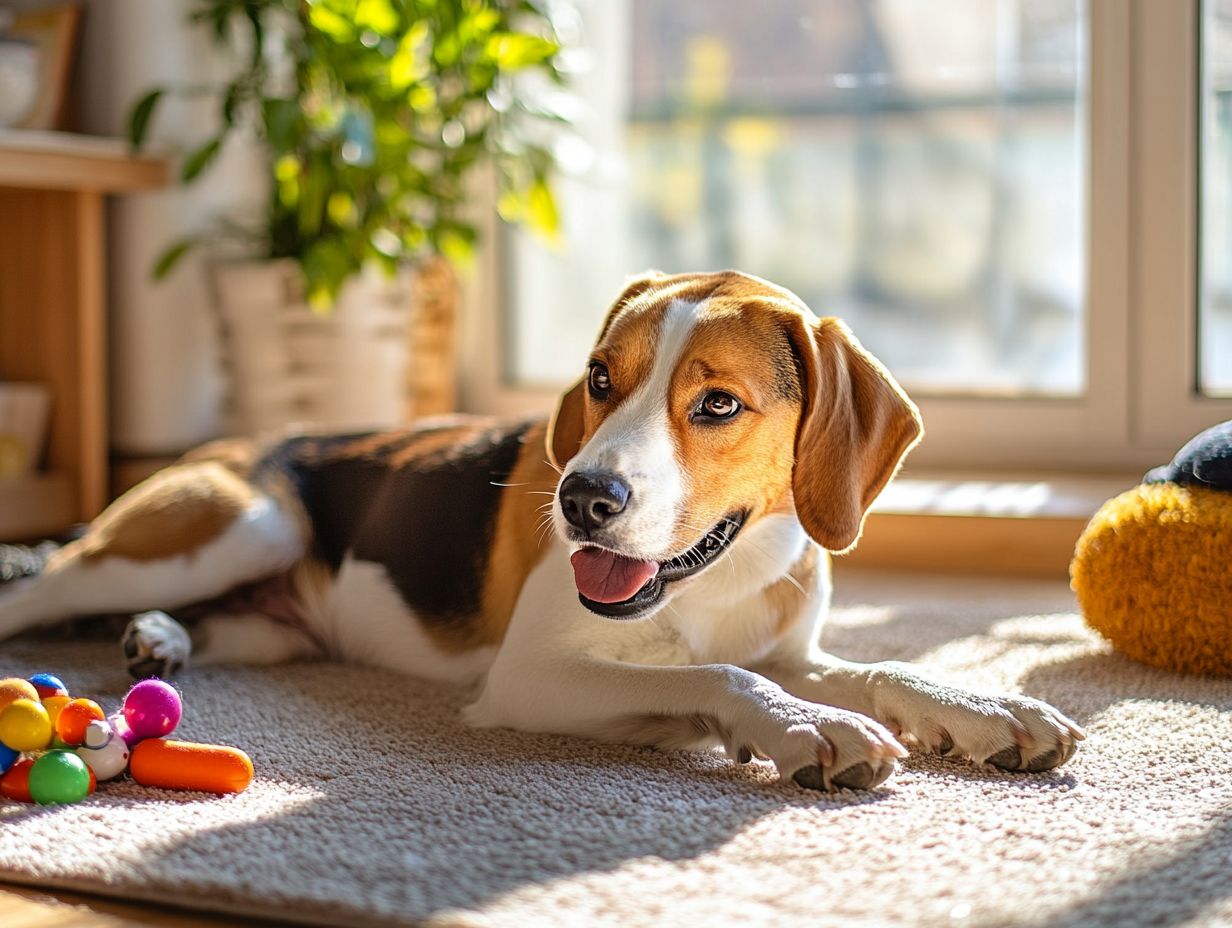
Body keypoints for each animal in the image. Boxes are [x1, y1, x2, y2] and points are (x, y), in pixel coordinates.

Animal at [0, 267, 1079, 788]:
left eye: (718, 404)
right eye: (600, 377)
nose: (583, 499)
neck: (716, 577)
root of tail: (236, 442)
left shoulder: (794, 647)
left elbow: (879, 666)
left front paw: (984, 709)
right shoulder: (531, 675)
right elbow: (713, 676)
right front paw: (798, 725)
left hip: (266, 619)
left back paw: (159, 638)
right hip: (239, 522)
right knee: (42, 581)